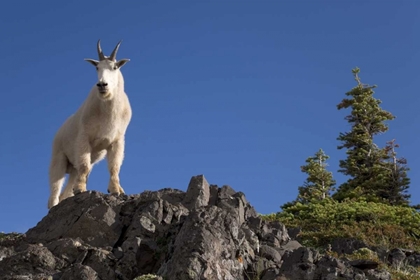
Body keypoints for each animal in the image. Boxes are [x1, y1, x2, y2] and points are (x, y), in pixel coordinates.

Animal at [46, 40, 132, 209]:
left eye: (114, 67)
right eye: (97, 67)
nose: (102, 85)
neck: (108, 109)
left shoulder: (117, 141)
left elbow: (114, 166)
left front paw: (116, 190)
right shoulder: (84, 138)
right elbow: (85, 165)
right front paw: (80, 189)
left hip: (72, 167)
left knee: (66, 189)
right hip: (59, 158)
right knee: (55, 188)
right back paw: (53, 206)